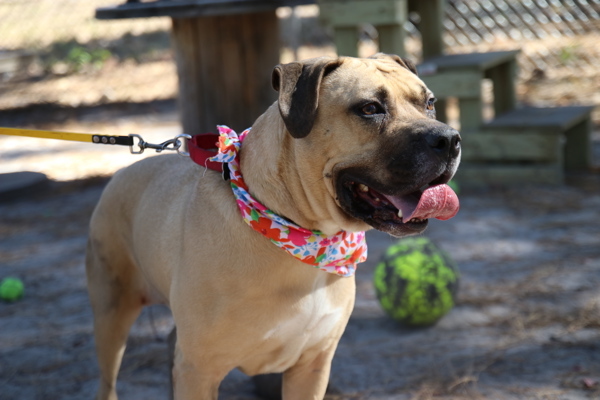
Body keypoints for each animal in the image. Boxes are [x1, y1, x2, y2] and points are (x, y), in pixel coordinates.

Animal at [85, 54, 460, 400]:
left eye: (429, 102)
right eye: (369, 108)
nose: (449, 139)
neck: (302, 235)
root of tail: (123, 171)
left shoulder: (311, 366)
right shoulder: (199, 371)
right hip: (111, 313)